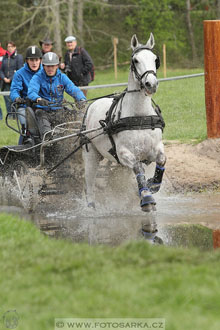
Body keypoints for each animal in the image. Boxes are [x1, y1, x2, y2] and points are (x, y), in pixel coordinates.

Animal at [83, 32, 167, 211]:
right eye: (135, 60)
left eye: (155, 59)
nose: (151, 84)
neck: (139, 117)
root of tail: (92, 105)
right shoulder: (124, 153)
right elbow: (137, 166)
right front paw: (146, 197)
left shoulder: (154, 149)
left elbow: (161, 160)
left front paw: (152, 185)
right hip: (90, 155)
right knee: (89, 183)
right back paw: (91, 206)